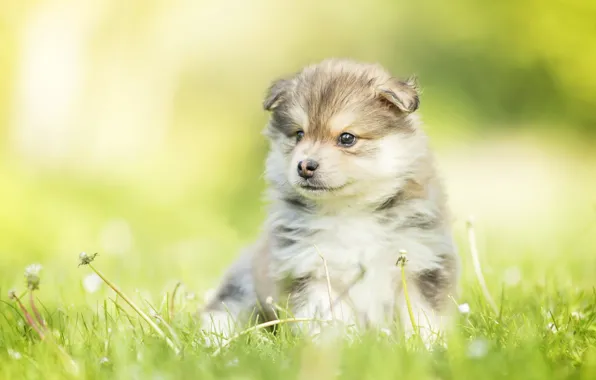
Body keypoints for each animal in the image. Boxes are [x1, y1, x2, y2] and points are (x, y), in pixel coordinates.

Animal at [198, 57, 458, 344]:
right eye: (299, 135)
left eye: (347, 138)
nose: (305, 166)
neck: (350, 211)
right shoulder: (310, 271)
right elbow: (326, 320)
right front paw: (333, 347)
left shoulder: (422, 263)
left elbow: (424, 317)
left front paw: (429, 346)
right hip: (245, 282)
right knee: (224, 308)